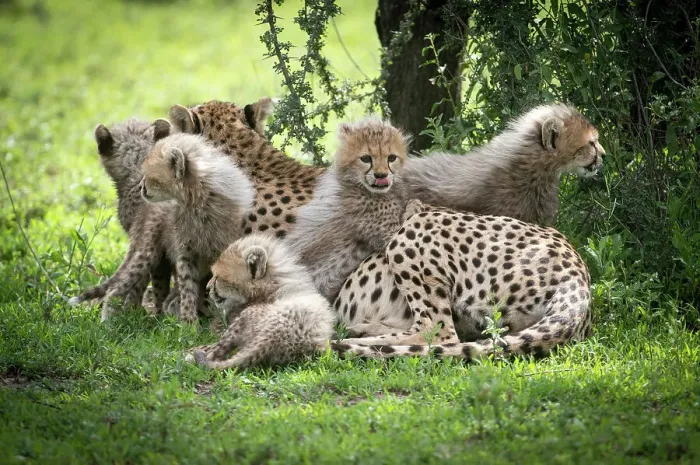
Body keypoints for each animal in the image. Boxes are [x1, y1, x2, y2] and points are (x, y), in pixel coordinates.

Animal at [189, 234, 335, 369]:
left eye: (217, 277)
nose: (207, 289)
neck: (274, 285)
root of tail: (270, 340)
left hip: (246, 317)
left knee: (215, 352)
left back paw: (191, 355)